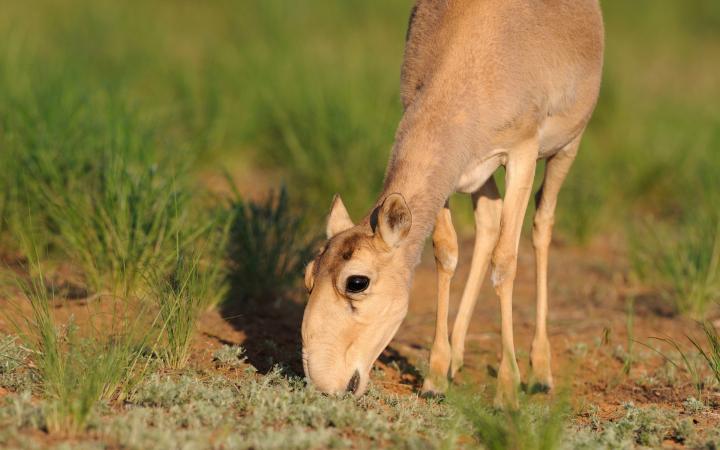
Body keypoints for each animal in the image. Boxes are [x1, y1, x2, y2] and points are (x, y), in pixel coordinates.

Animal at [300, 0, 604, 408]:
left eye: (357, 282)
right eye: (309, 275)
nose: (322, 385)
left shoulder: (522, 153)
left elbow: (505, 261)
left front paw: (507, 390)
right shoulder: (450, 177)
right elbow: (446, 253)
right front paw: (434, 378)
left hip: (567, 146)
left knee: (542, 223)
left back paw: (540, 372)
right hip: (482, 178)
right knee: (489, 220)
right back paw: (457, 358)